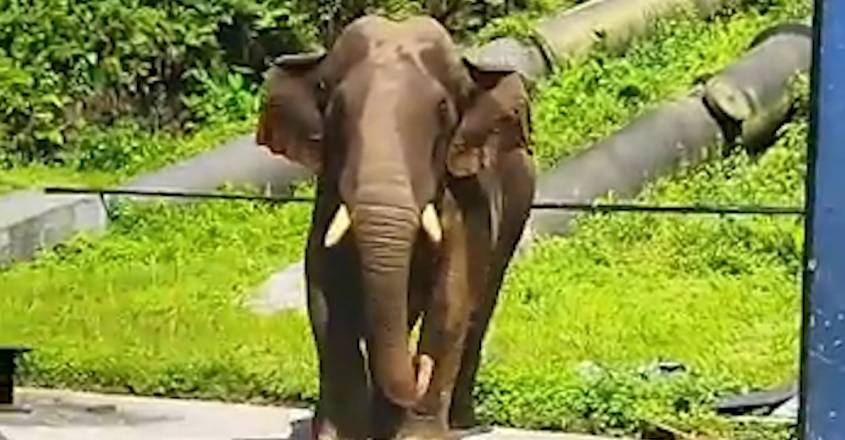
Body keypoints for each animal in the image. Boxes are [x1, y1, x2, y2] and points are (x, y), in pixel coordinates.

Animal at [255, 14, 536, 440]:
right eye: (336, 110)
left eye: (443, 110)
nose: (419, 367)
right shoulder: (328, 197)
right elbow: (324, 291)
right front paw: (343, 434)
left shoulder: (465, 201)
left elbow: (451, 297)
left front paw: (417, 435)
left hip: (519, 202)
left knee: (481, 305)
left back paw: (459, 421)